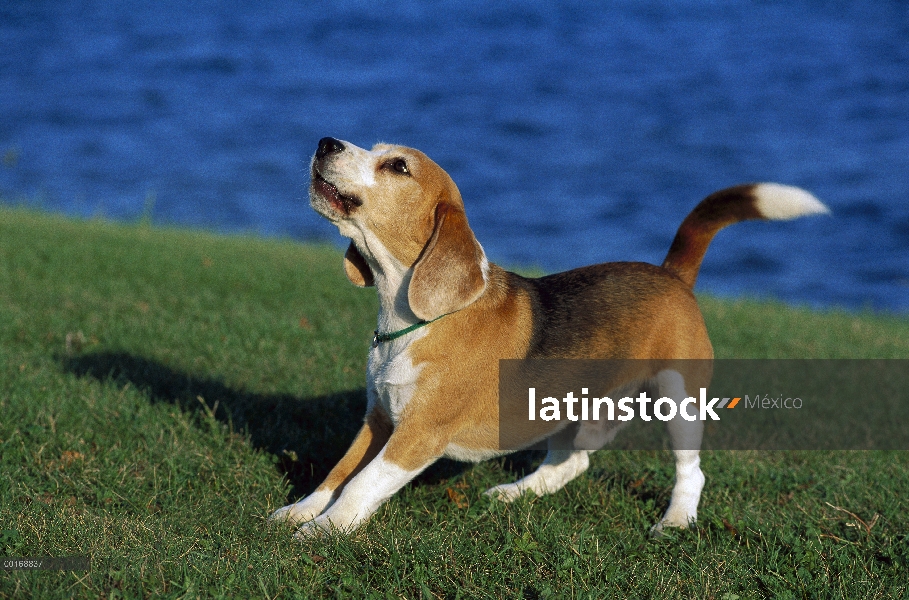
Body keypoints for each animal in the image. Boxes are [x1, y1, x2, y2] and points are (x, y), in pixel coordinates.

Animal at [266, 137, 828, 540]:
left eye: (398, 167)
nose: (326, 142)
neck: (413, 318)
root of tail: (670, 274)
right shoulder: (378, 419)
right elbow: (338, 474)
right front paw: (299, 513)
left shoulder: (417, 433)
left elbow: (361, 484)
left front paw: (324, 531)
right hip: (573, 408)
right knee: (572, 460)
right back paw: (516, 493)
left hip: (679, 397)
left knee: (691, 472)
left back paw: (675, 521)